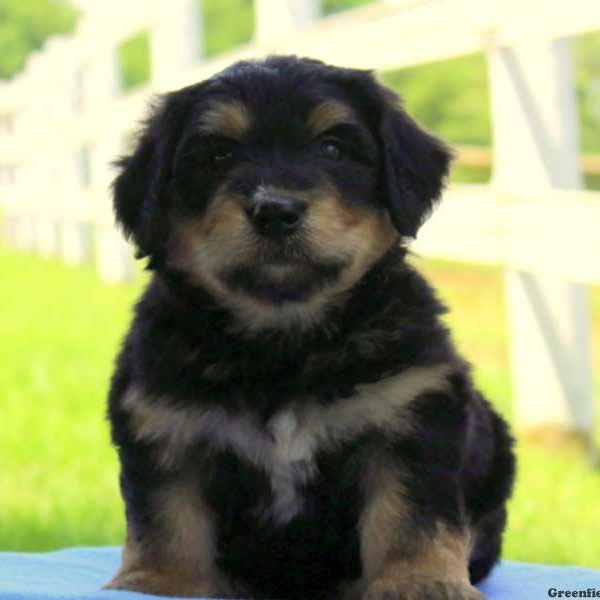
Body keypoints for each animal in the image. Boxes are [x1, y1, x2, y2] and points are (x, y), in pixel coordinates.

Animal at [104, 56, 516, 600]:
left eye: (332, 148)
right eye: (218, 154)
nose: (275, 210)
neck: (285, 343)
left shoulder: (410, 417)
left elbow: (411, 516)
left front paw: (421, 581)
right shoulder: (166, 431)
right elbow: (168, 522)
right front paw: (155, 583)